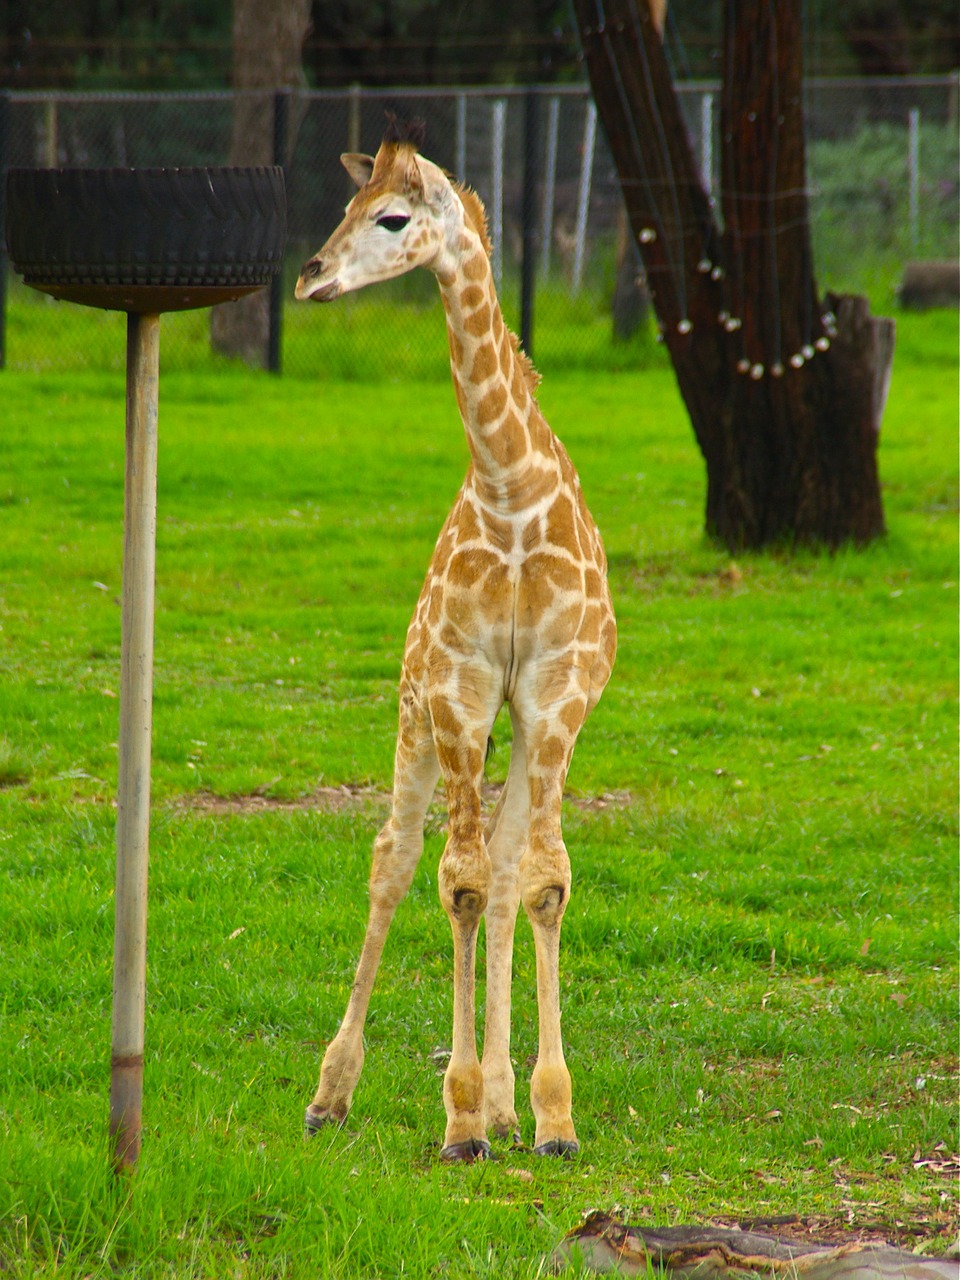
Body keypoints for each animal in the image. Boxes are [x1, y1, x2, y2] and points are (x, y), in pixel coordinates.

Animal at [293, 120, 616, 1162]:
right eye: (346, 206)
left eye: (394, 218)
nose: (311, 277)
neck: (509, 487)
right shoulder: (458, 689)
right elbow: (458, 884)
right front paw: (462, 1114)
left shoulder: (554, 694)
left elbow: (535, 883)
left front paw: (548, 1115)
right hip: (417, 708)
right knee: (395, 864)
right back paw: (333, 1093)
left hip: (511, 724)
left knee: (506, 867)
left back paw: (513, 1106)